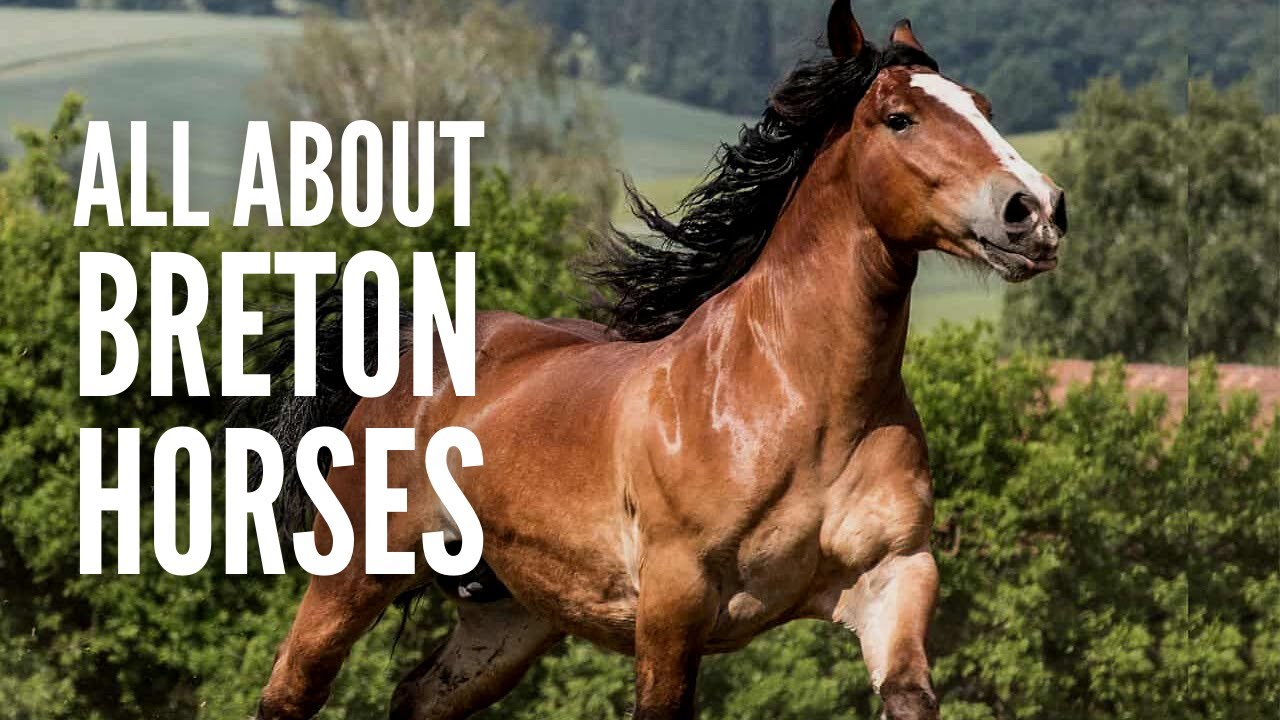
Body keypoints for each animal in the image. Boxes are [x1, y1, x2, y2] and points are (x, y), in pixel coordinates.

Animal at [251, 2, 1066, 718]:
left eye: (984, 106)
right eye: (900, 118)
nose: (1038, 211)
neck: (800, 402)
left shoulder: (894, 577)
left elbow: (909, 694)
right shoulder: (675, 602)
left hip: (512, 615)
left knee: (419, 697)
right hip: (355, 575)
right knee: (289, 689)